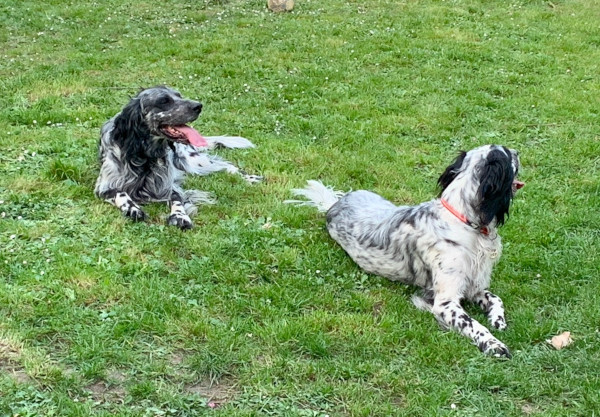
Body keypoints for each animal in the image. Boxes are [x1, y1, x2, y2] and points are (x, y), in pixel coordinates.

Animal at [94, 86, 262, 229]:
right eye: (164, 101)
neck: (144, 154)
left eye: (179, 96)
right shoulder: (104, 187)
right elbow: (121, 193)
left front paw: (180, 216)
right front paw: (132, 209)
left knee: (227, 165)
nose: (198, 106)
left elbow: (177, 198)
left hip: (192, 161)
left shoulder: (168, 185)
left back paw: (250, 178)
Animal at [287, 145, 524, 357]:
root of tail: (334, 205)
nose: (518, 152)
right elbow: (473, 324)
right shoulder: (445, 302)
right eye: (507, 153)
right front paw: (494, 345)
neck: (464, 221)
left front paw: (497, 320)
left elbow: (495, 298)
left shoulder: (473, 286)